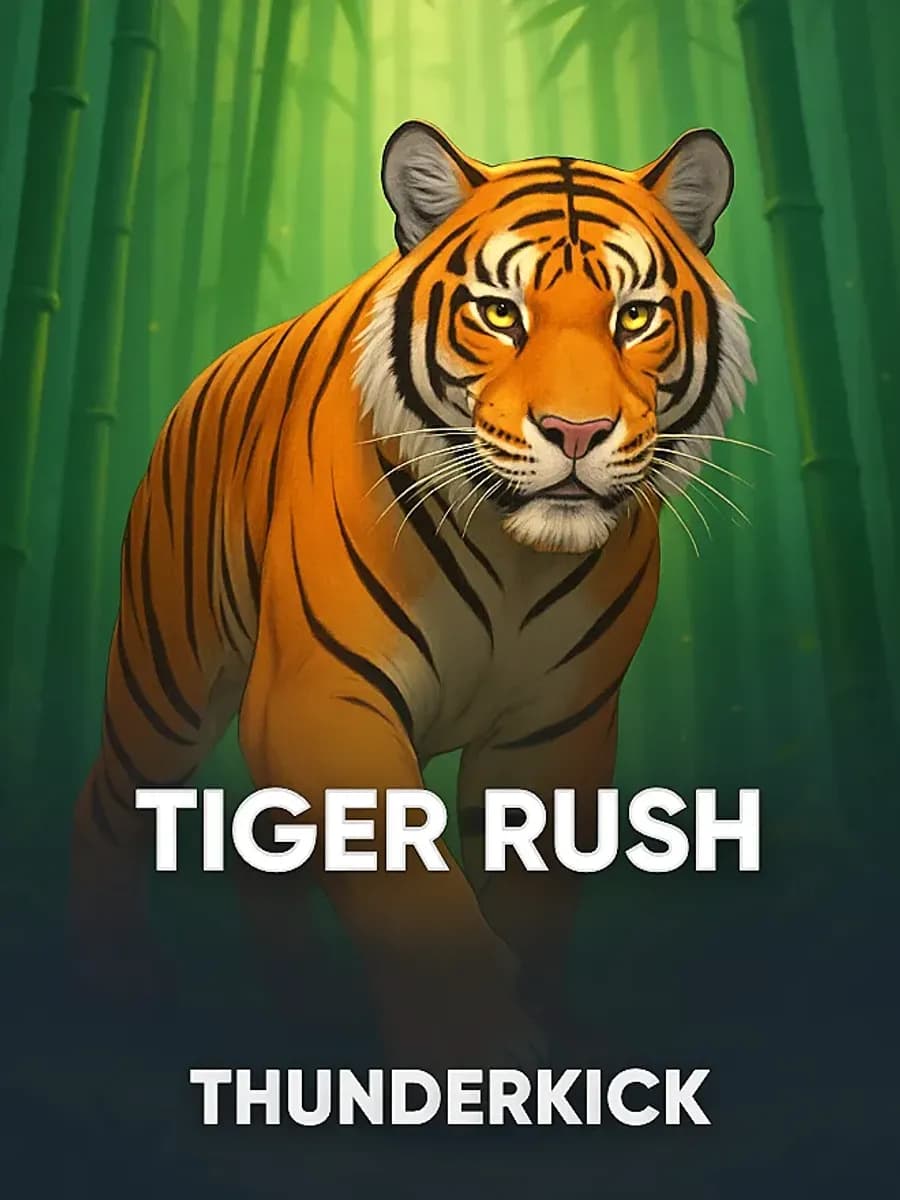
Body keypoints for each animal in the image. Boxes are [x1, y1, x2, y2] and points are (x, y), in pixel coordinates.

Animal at [72, 120, 753, 1067]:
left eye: (634, 316)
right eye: (500, 313)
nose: (576, 432)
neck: (518, 556)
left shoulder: (555, 730)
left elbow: (528, 902)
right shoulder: (318, 695)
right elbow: (409, 889)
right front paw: (476, 1046)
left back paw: (302, 1003)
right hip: (166, 681)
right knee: (105, 801)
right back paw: (116, 983)